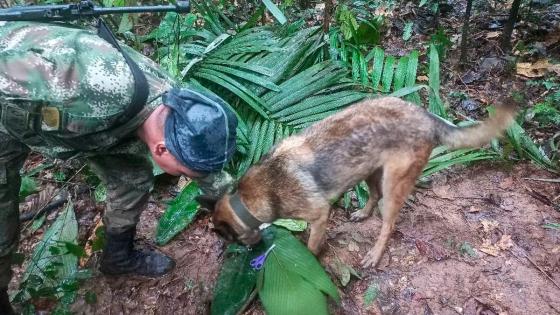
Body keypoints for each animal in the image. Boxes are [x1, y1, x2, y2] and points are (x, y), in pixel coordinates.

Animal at [211, 97, 516, 270]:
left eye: (230, 239)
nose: (249, 251)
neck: (248, 198)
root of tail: (427, 116)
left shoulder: (319, 215)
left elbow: (311, 246)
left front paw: (309, 260)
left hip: (394, 185)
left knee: (388, 224)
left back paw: (375, 255)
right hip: (369, 169)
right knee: (373, 195)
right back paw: (362, 213)